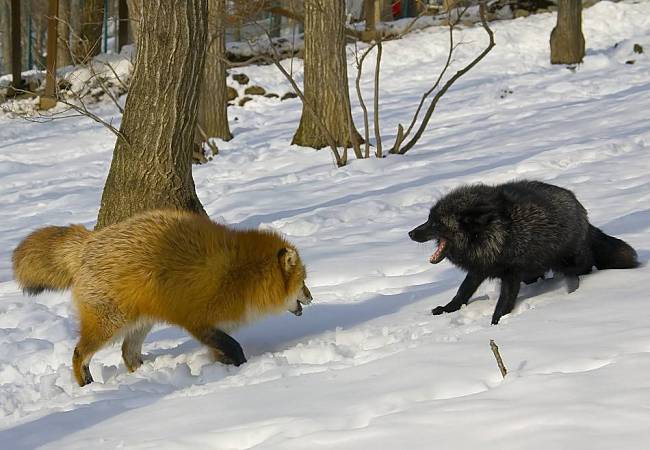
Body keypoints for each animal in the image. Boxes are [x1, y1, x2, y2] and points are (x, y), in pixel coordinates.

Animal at [12, 209, 312, 384]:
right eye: (303, 282)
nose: (311, 298)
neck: (240, 274)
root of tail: (88, 242)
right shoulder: (198, 322)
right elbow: (234, 347)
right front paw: (242, 370)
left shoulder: (211, 327)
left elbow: (224, 352)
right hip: (109, 324)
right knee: (78, 354)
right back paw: (87, 385)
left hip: (140, 323)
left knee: (127, 354)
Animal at [408, 179, 636, 324]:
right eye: (428, 219)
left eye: (435, 223)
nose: (410, 233)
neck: (494, 234)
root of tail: (580, 208)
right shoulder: (480, 268)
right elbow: (462, 292)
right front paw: (447, 310)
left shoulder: (511, 274)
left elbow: (503, 304)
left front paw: (496, 324)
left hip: (572, 260)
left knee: (585, 266)